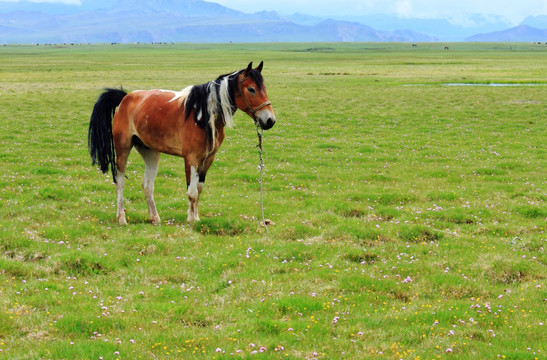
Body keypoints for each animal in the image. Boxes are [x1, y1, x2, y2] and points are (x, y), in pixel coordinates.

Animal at [88, 62, 276, 225]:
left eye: (264, 88)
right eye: (251, 89)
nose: (270, 120)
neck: (203, 115)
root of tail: (125, 97)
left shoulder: (208, 159)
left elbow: (198, 189)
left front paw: (196, 217)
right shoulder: (190, 158)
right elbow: (191, 192)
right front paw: (191, 220)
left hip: (150, 151)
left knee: (147, 185)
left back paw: (155, 218)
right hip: (123, 148)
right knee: (120, 181)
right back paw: (121, 219)